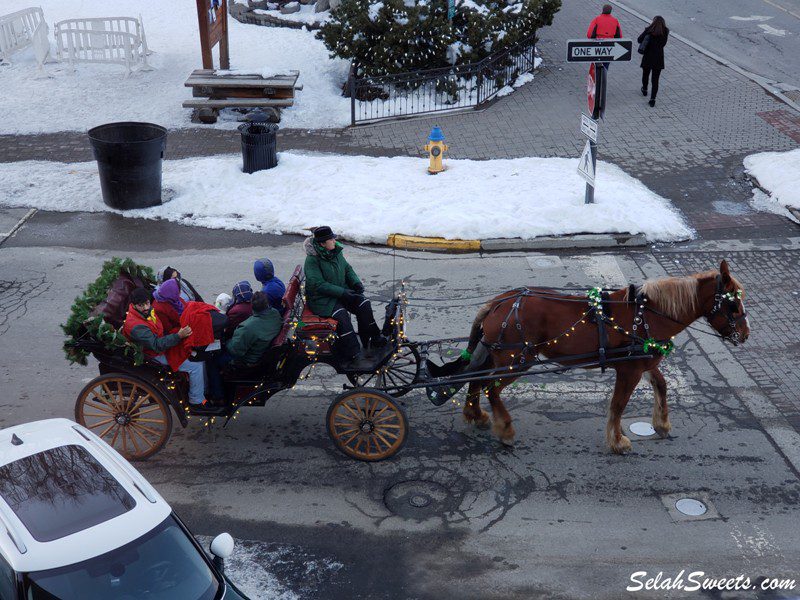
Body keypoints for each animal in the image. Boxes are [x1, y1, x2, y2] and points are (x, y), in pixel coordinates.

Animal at [462, 260, 752, 452]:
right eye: (733, 304)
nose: (746, 334)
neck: (646, 316)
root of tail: (498, 303)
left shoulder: (644, 363)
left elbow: (661, 385)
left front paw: (662, 424)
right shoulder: (629, 371)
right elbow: (618, 404)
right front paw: (617, 441)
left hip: (497, 356)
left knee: (475, 380)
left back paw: (476, 415)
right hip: (517, 360)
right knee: (491, 388)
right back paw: (505, 429)